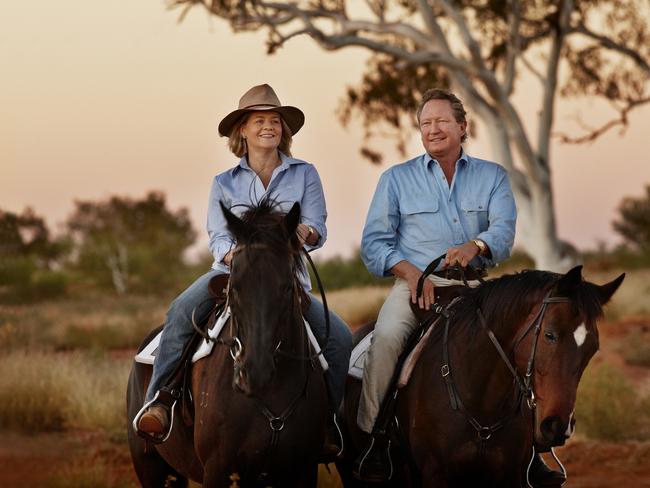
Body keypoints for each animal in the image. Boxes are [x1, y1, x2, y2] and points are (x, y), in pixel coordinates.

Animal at [128, 199, 330, 488]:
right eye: (233, 288)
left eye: (287, 288)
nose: (255, 371)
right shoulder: (218, 470)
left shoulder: (303, 470)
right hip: (152, 468)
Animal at [336, 266, 620, 488]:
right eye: (550, 334)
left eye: (593, 348)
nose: (558, 426)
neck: (482, 402)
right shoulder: (435, 476)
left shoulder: (509, 477)